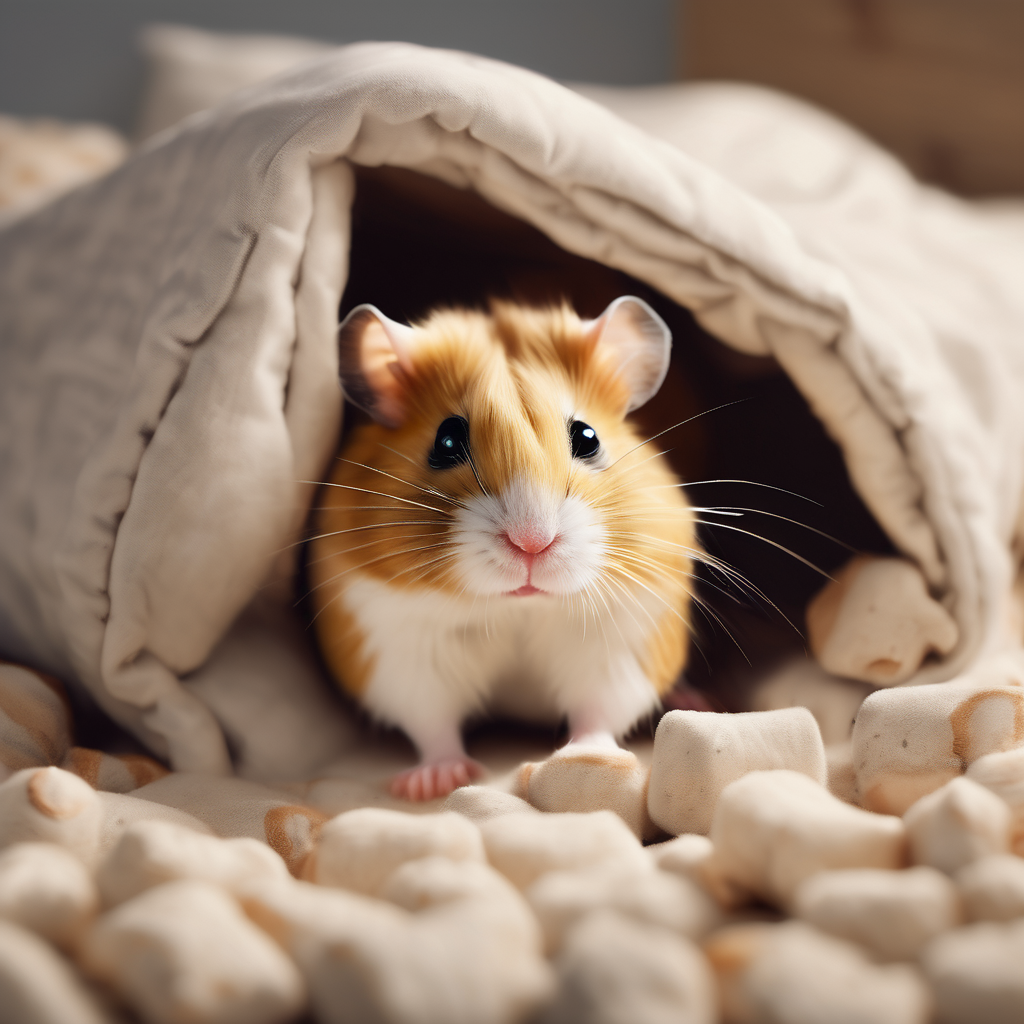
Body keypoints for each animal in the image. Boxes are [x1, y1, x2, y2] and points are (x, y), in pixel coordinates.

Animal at [310, 297, 695, 800]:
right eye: (447, 440)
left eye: (587, 437)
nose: (532, 542)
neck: (518, 608)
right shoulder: (401, 651)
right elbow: (432, 723)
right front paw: (435, 783)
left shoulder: (618, 644)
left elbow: (599, 710)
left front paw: (586, 758)